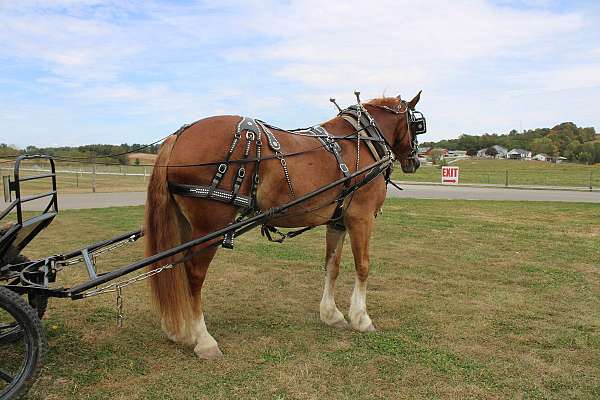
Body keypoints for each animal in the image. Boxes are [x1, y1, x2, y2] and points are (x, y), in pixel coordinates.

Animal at [144, 92, 422, 358]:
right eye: (418, 125)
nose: (415, 161)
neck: (364, 140)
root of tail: (179, 136)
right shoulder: (360, 217)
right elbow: (363, 266)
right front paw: (362, 318)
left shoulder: (337, 222)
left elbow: (331, 266)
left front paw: (331, 314)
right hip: (209, 227)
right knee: (193, 275)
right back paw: (203, 339)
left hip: (185, 225)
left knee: (174, 267)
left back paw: (178, 330)